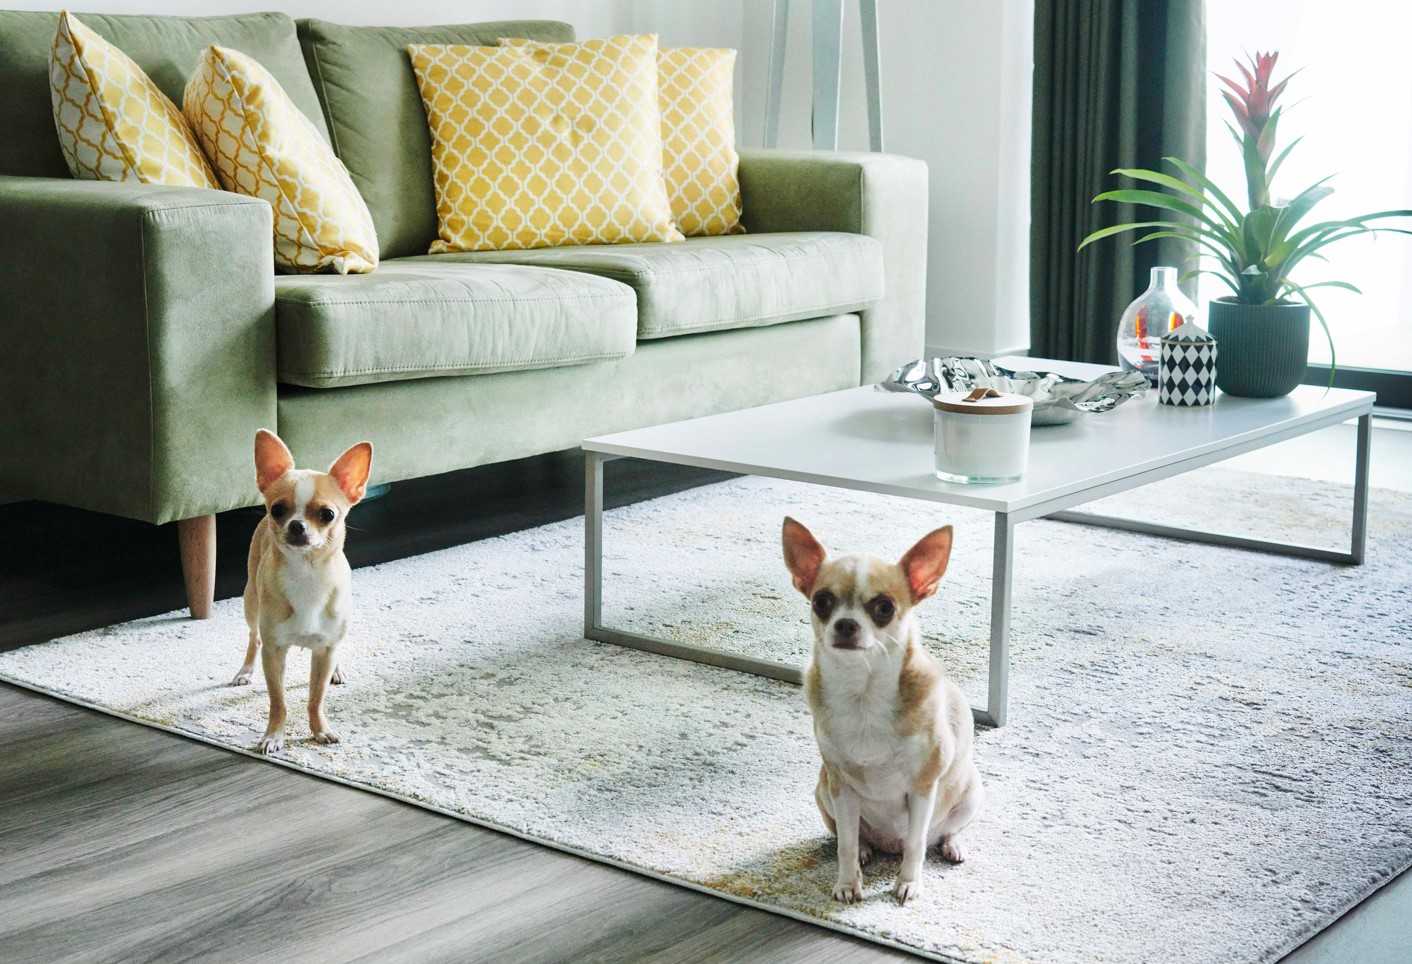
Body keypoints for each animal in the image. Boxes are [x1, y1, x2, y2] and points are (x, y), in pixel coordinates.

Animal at [230, 429, 369, 756]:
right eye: (277, 510)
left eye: (328, 514)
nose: (296, 525)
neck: (306, 575)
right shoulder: (274, 652)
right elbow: (277, 701)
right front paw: (273, 735)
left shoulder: (325, 650)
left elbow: (316, 698)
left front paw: (320, 730)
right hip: (251, 603)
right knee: (253, 637)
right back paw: (245, 670)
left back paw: (337, 671)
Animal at [785, 519, 982, 903]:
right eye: (821, 602)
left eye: (885, 608)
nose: (846, 624)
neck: (863, 695)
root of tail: (889, 845)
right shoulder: (840, 785)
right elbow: (845, 843)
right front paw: (848, 883)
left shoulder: (922, 787)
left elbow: (917, 845)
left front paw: (908, 883)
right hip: (823, 789)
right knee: (851, 836)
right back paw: (866, 849)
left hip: (971, 792)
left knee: (938, 836)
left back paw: (952, 846)